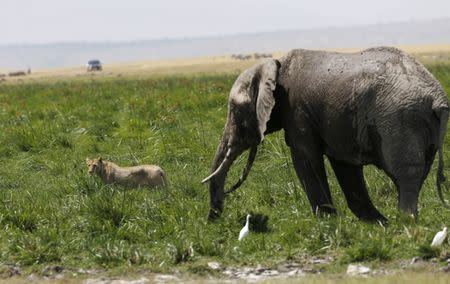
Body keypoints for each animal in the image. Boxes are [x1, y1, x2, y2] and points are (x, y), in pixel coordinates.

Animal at [202, 46, 448, 222]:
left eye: (236, 111)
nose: (213, 218)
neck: (275, 64)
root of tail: (438, 99)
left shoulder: (297, 112)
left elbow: (306, 160)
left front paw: (327, 223)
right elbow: (345, 166)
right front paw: (377, 223)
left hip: (399, 119)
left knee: (405, 173)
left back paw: (405, 222)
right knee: (417, 172)